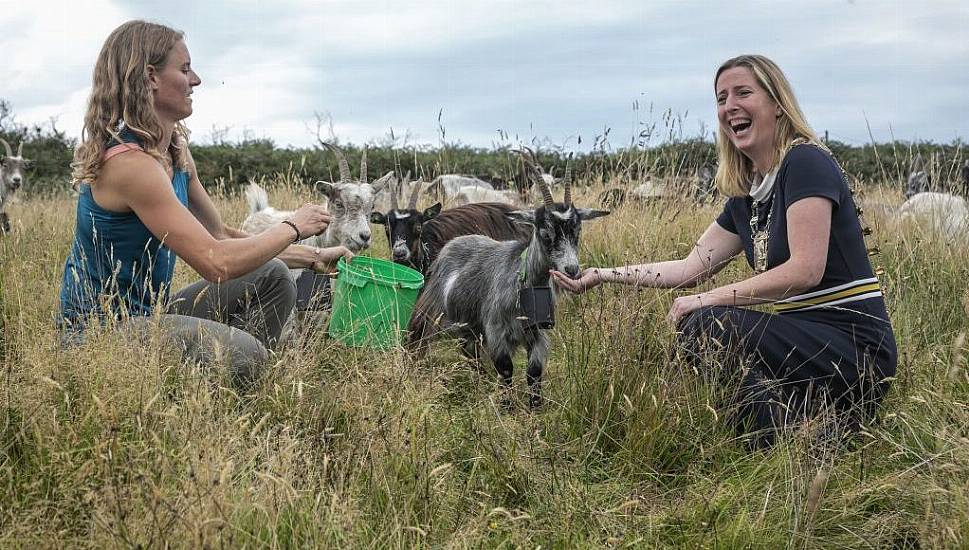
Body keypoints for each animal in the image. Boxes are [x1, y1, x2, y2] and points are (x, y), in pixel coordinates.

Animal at [406, 150, 604, 410]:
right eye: (545, 232)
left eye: (577, 231)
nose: (572, 269)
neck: (523, 282)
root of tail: (454, 243)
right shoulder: (496, 331)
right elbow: (506, 369)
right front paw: (507, 406)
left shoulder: (538, 336)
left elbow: (534, 372)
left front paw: (534, 408)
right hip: (432, 310)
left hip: (470, 325)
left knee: (469, 351)